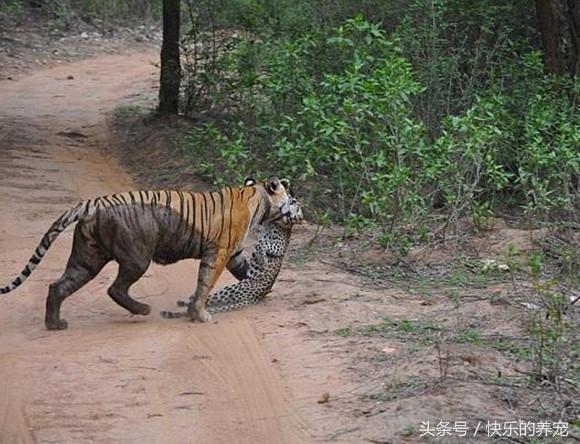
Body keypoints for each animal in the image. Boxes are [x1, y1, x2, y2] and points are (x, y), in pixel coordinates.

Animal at [0, 177, 300, 330]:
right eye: (293, 198)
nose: (298, 210)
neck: (258, 199)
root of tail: (94, 203)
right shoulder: (219, 251)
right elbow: (205, 284)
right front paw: (199, 314)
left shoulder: (234, 252)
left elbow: (245, 271)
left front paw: (260, 285)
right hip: (136, 257)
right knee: (115, 288)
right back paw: (143, 309)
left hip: (87, 258)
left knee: (58, 286)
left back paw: (55, 324)